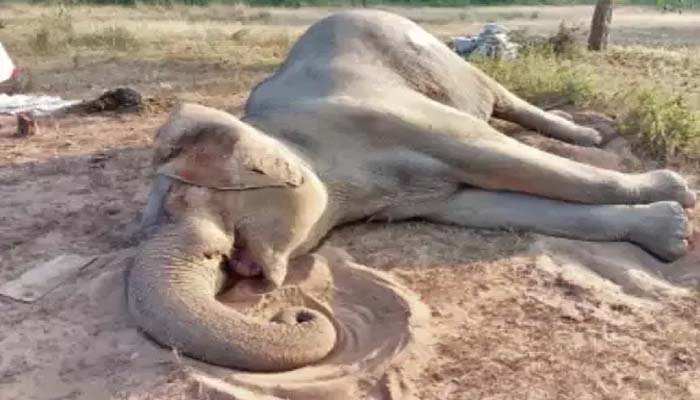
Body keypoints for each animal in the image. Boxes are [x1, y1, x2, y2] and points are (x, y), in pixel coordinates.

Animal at [128, 9, 696, 373]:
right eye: (223, 267)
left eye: (190, 204)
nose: (293, 310)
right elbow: (479, 204)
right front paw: (669, 232)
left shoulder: (388, 115)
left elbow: (509, 161)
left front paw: (677, 198)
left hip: (444, 60)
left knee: (502, 100)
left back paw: (590, 137)